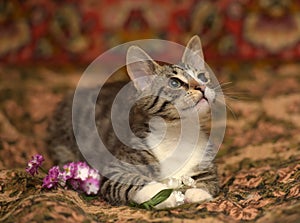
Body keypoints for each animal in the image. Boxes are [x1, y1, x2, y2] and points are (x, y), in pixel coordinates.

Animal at [47, 36, 220, 209]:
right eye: (175, 83)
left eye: (203, 77)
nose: (202, 86)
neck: (178, 134)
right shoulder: (116, 170)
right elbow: (132, 181)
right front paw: (163, 194)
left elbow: (210, 179)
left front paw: (198, 191)